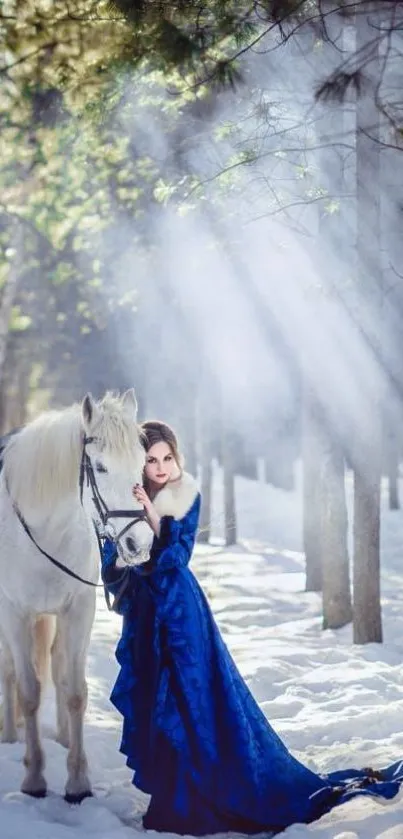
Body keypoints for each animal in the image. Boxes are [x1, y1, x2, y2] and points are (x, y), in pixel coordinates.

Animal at [0, 392, 154, 800]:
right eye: (99, 467)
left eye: (141, 464)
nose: (139, 544)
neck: (44, 529)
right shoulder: (14, 614)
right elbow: (29, 690)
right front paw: (34, 779)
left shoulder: (79, 610)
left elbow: (75, 692)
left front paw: (78, 782)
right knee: (9, 670)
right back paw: (10, 736)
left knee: (56, 666)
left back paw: (65, 738)